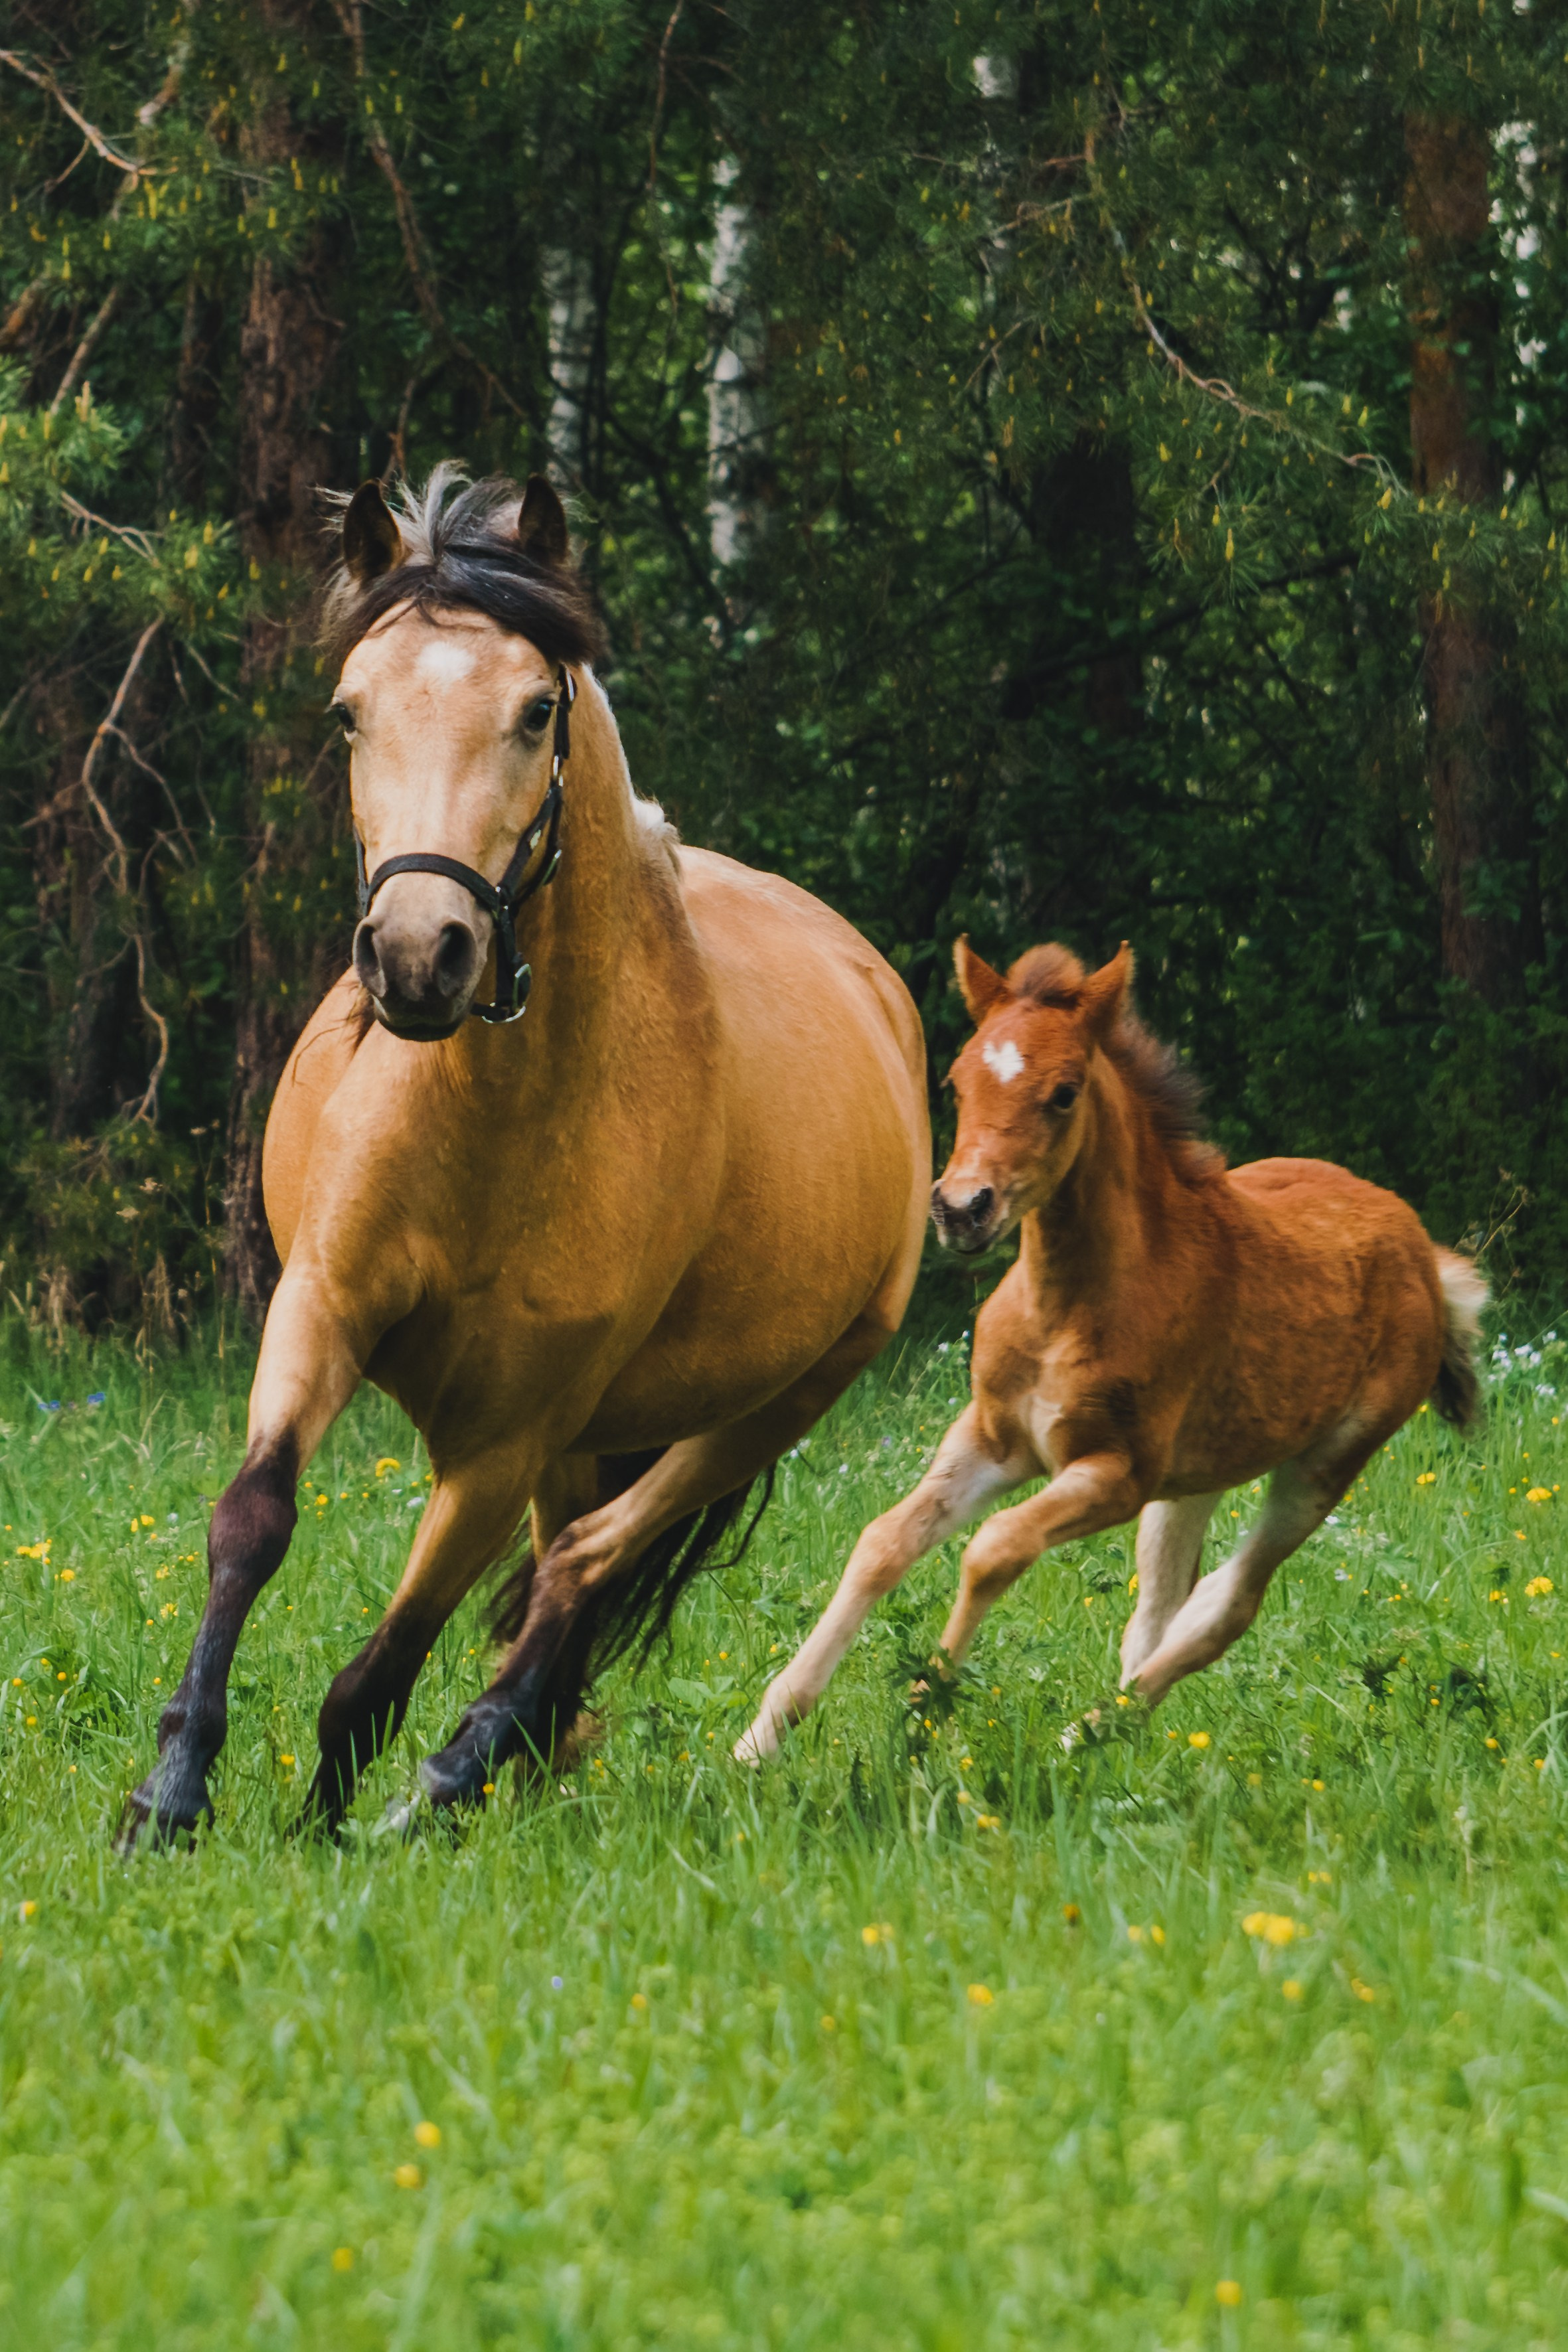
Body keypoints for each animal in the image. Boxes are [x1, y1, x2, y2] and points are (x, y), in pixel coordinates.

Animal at [119, 466, 929, 1848]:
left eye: (536, 707)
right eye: (348, 710)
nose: (417, 953)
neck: (502, 1119)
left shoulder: (498, 1441)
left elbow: (384, 1661)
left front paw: (334, 1824)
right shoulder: (320, 1308)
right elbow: (252, 1520)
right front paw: (172, 1792)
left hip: (759, 1413)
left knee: (586, 1571)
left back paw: (453, 1777)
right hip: (584, 1441)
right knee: (573, 1567)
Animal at [737, 936, 1485, 1759]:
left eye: (1064, 1093)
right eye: (956, 1081)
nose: (962, 1210)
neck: (1063, 1309)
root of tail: (1423, 1253)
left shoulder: (1114, 1474)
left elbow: (994, 1548)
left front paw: (924, 1711)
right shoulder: (991, 1438)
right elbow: (882, 1543)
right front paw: (760, 1737)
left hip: (1324, 1464)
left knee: (1227, 1605)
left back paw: (1088, 1733)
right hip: (1194, 1479)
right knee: (1163, 1609)